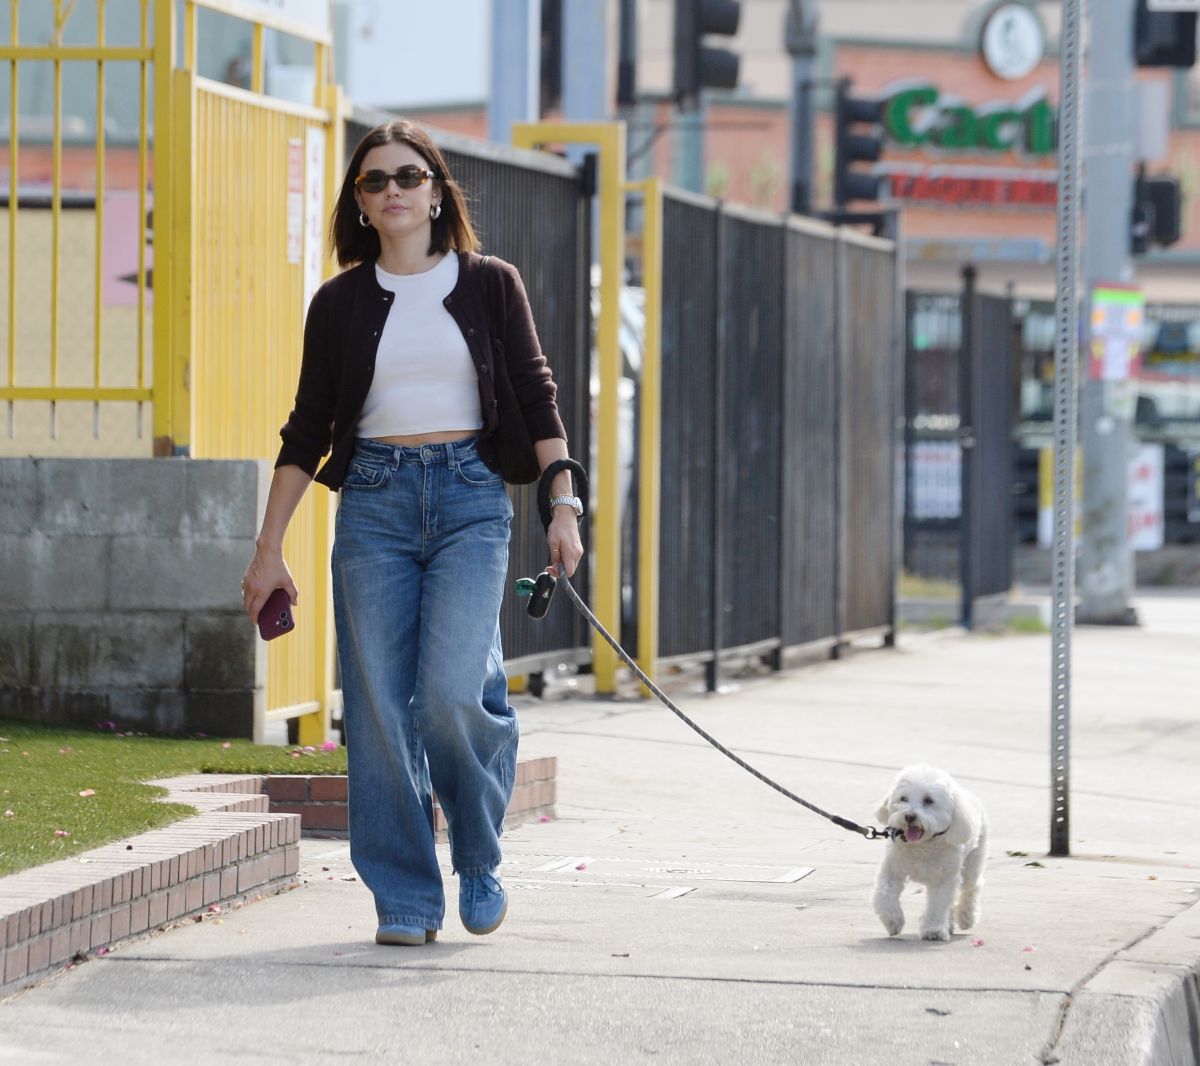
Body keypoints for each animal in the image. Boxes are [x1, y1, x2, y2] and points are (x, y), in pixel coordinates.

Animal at [873, 768, 984, 941]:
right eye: (903, 798)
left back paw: (967, 917)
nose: (909, 816)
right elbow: (885, 893)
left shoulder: (943, 879)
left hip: (972, 862)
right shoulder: (892, 871)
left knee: (972, 887)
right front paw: (893, 920)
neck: (923, 844)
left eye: (929, 800)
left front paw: (934, 930)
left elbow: (938, 904)